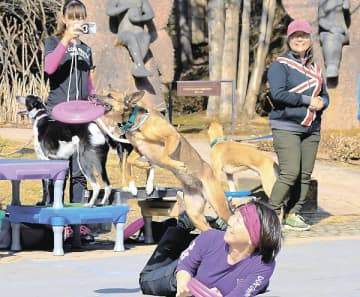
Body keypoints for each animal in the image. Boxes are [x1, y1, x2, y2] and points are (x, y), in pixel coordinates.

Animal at [100, 91, 232, 230]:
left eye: (110, 95)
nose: (93, 97)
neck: (136, 121)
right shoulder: (139, 150)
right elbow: (131, 160)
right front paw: (144, 165)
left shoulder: (172, 136)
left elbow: (163, 157)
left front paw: (178, 165)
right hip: (194, 213)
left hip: (219, 205)